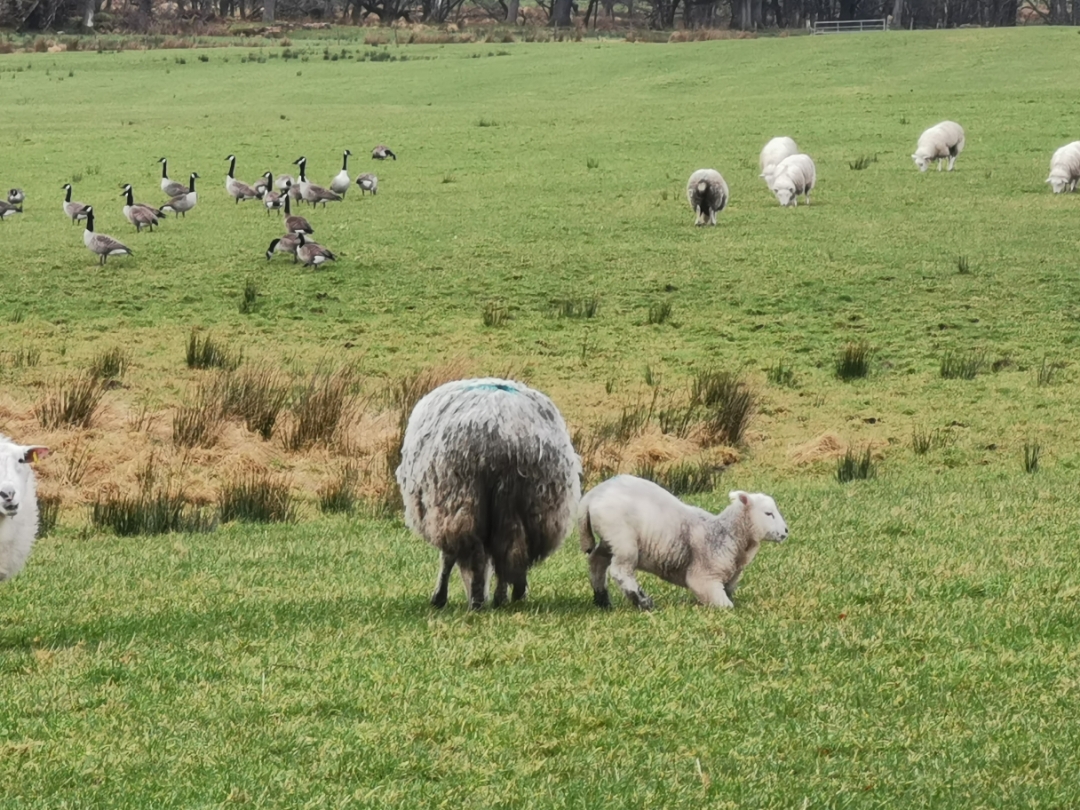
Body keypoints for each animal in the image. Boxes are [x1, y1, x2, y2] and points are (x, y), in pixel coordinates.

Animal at [397, 378, 583, 613]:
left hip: (462, 497)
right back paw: (507, 596)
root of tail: (508, 441)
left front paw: (439, 598)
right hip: (534, 506)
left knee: (478, 553)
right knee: (509, 552)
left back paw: (477, 601)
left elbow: (448, 557)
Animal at [578, 475, 790, 609]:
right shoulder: (703, 577)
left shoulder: (729, 579)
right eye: (768, 513)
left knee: (596, 561)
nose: (786, 532)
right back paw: (643, 602)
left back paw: (602, 600)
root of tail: (593, 494)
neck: (725, 535)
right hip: (623, 539)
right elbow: (723, 603)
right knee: (620, 571)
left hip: (609, 539)